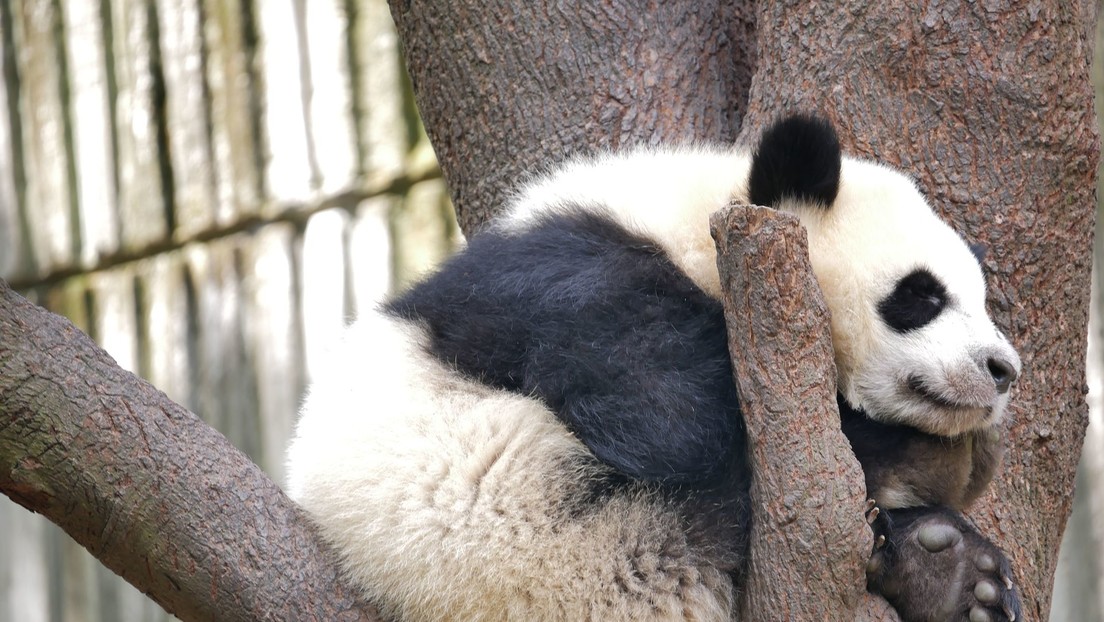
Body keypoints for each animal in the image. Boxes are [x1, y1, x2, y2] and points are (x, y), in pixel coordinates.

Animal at [286, 115, 1022, 622]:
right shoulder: (573, 278)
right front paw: (923, 445)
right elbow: (666, 419)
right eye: (921, 295)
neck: (692, 217)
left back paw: (953, 576)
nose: (1002, 369)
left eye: (981, 299)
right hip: (532, 537)